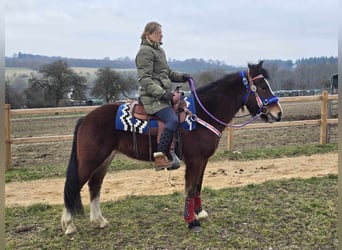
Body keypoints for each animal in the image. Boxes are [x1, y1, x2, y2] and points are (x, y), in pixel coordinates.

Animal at [61, 60, 284, 234]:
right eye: (262, 86)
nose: (278, 113)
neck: (202, 113)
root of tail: (86, 118)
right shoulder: (194, 160)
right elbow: (190, 189)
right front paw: (191, 221)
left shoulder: (203, 160)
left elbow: (198, 187)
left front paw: (199, 212)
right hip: (90, 161)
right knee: (74, 186)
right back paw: (69, 224)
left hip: (105, 159)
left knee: (94, 186)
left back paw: (99, 221)